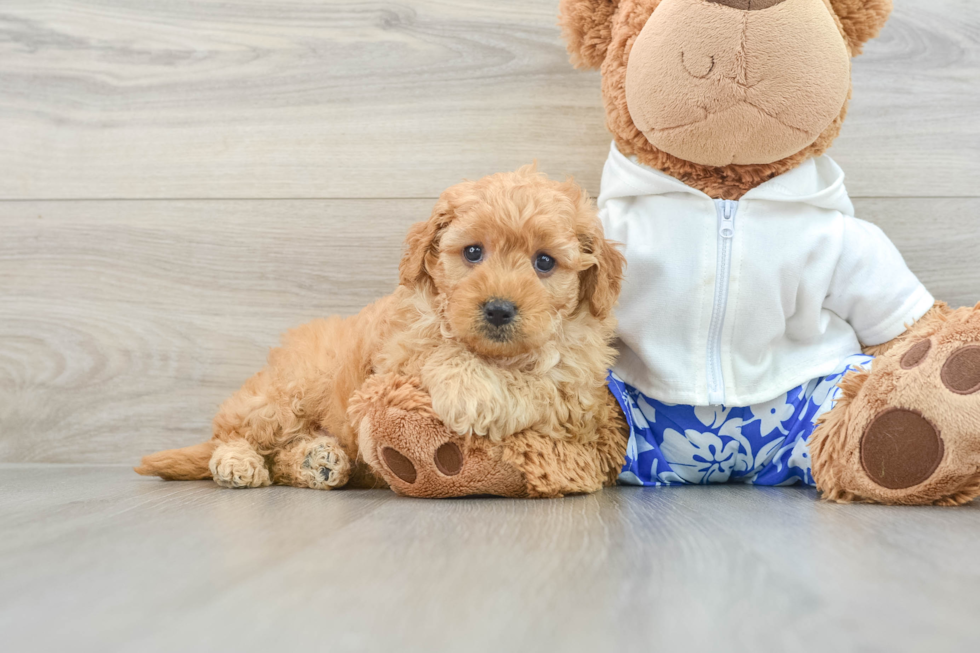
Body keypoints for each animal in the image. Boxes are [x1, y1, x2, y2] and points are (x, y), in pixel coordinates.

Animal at [134, 166, 624, 492]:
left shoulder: (578, 393)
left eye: (544, 262)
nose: (499, 310)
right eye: (473, 252)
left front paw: (485, 389)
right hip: (286, 394)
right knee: (235, 432)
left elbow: (542, 382)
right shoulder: (398, 355)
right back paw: (239, 462)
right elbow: (440, 349)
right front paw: (468, 386)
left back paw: (317, 461)